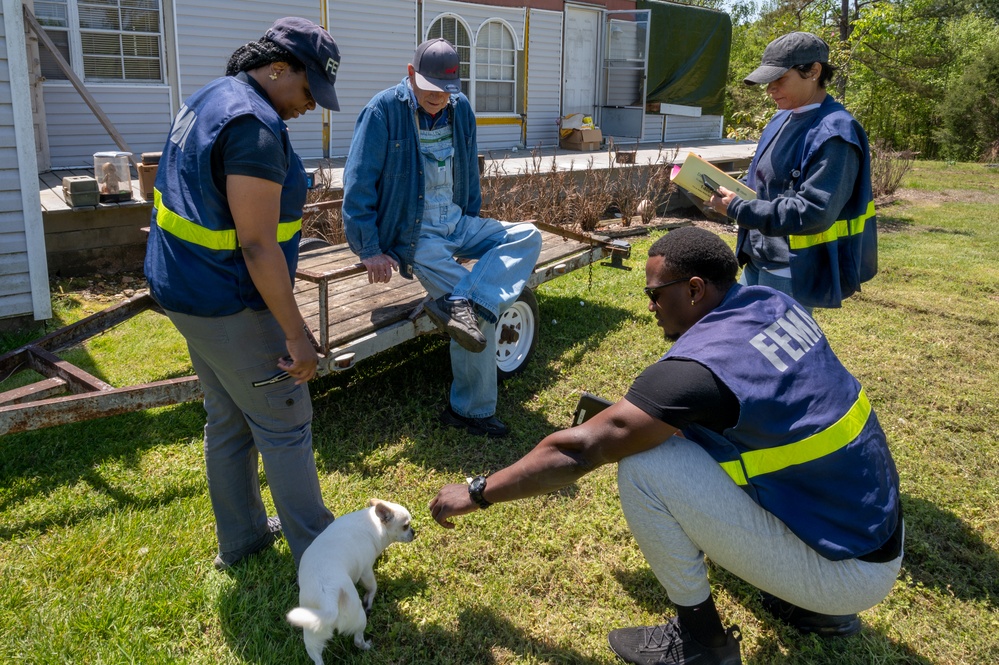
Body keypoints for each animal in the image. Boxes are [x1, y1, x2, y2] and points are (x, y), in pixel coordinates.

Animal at [288, 498, 416, 664]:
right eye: (406, 526)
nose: (414, 532)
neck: (374, 524)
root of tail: (328, 601)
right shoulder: (366, 571)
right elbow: (373, 587)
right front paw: (369, 600)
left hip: (312, 631)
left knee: (317, 657)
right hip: (359, 617)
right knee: (357, 640)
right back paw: (367, 646)